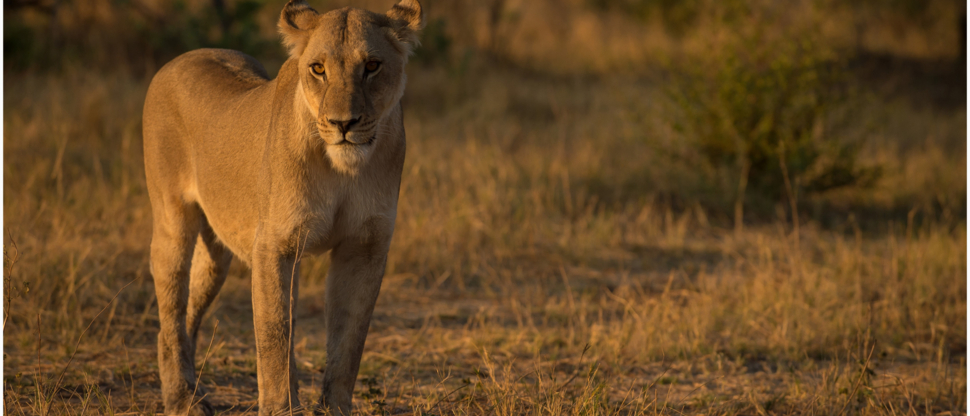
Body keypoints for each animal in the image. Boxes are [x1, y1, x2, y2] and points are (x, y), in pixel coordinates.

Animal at [141, 1, 424, 414]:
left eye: (372, 65)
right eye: (318, 68)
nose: (343, 123)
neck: (343, 169)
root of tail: (179, 58)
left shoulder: (364, 247)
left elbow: (349, 340)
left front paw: (334, 407)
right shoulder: (274, 245)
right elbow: (274, 335)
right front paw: (280, 408)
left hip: (217, 258)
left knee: (188, 311)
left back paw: (195, 391)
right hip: (172, 221)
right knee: (170, 317)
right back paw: (182, 400)